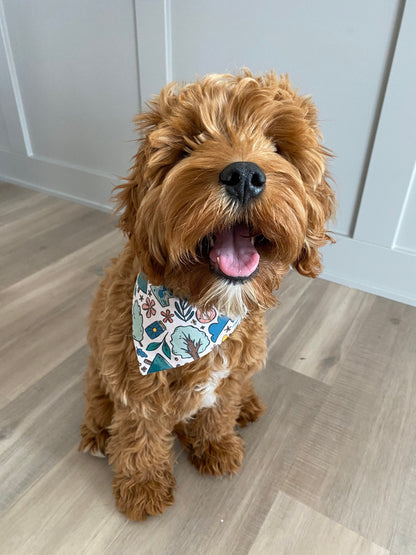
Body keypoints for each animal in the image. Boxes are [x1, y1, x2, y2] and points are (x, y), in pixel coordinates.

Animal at [79, 69, 336, 520]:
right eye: (188, 145)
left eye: (276, 145)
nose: (245, 176)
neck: (201, 312)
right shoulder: (135, 384)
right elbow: (140, 434)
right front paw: (143, 486)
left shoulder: (229, 374)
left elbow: (218, 410)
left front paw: (215, 445)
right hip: (99, 370)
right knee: (97, 401)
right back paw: (96, 434)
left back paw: (247, 405)